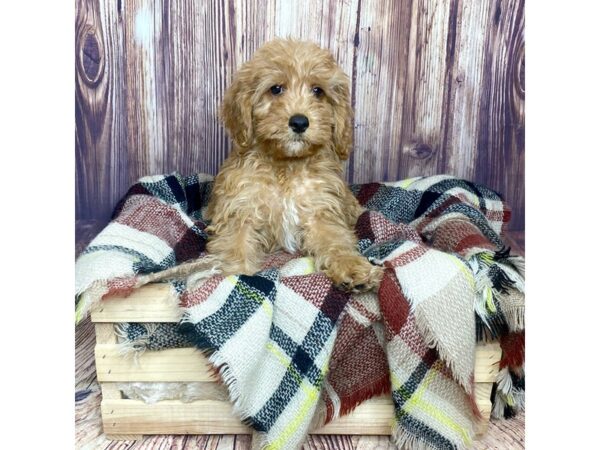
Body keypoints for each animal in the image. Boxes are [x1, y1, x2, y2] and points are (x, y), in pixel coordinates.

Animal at [205, 38, 384, 292]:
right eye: (275, 89)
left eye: (318, 91)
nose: (299, 122)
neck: (287, 166)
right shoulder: (240, 209)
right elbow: (235, 245)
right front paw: (235, 276)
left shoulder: (321, 209)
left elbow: (336, 240)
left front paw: (353, 268)